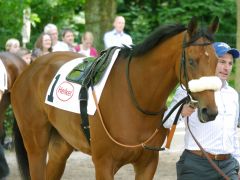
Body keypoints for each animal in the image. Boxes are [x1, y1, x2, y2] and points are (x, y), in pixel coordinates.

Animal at [12, 16, 219, 179]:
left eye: (216, 61)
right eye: (191, 61)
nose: (210, 111)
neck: (137, 97)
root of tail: (29, 69)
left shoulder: (148, 164)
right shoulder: (104, 164)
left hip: (60, 146)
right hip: (36, 145)